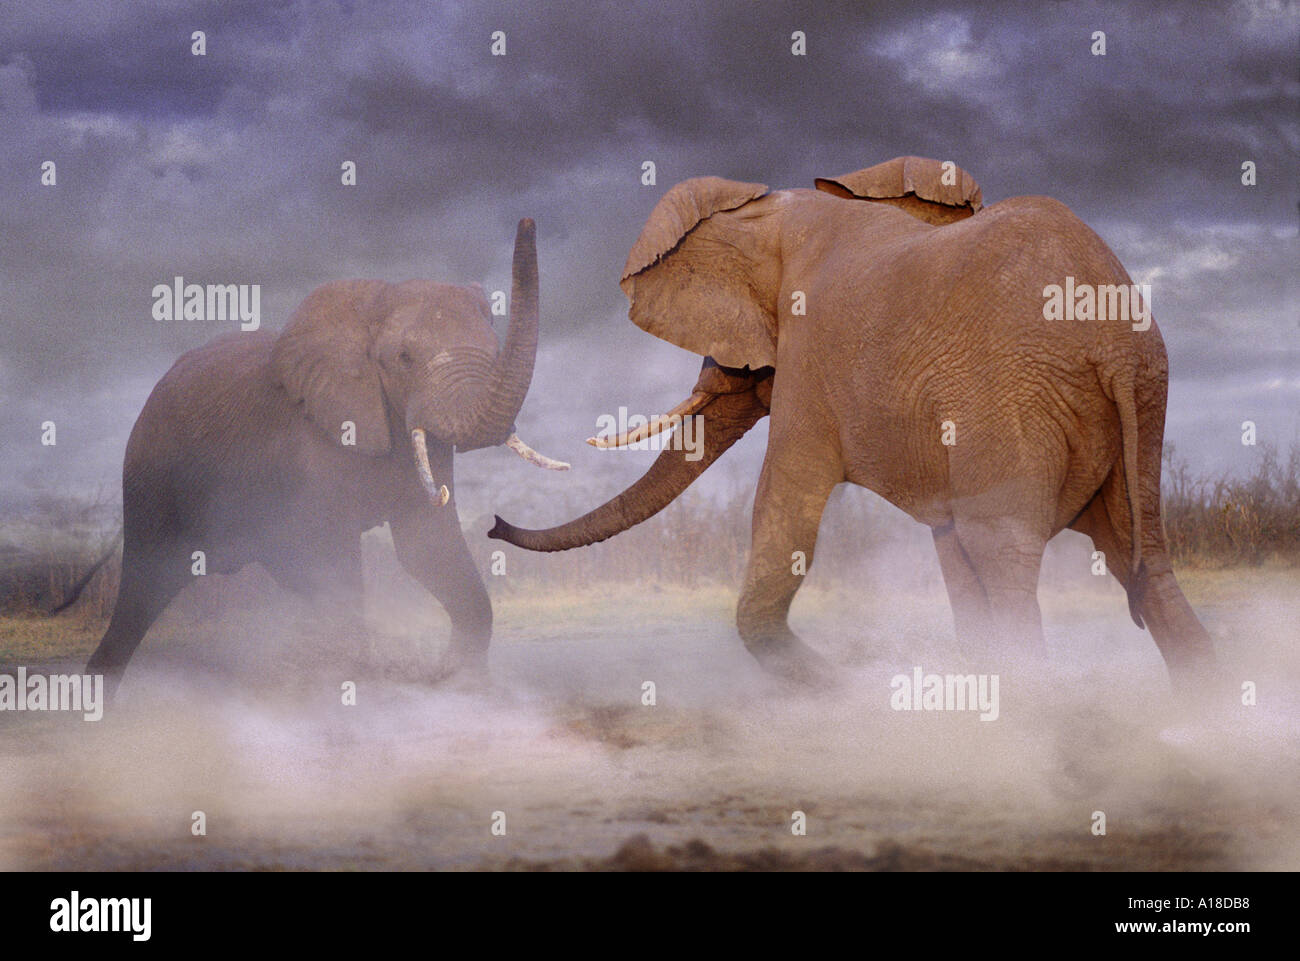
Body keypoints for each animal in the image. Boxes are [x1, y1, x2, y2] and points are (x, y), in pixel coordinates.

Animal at [82, 222, 569, 697]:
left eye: (494, 348)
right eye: (404, 358)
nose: (527, 222)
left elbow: (427, 548)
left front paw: (460, 684)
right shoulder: (309, 439)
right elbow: (339, 564)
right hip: (150, 473)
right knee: (145, 587)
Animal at [488, 156, 1216, 691]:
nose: (491, 523)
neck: (774, 212)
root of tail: (1110, 342)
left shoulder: (814, 357)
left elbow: (785, 505)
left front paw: (849, 691)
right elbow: (949, 552)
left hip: (1016, 396)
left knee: (1004, 553)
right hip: (1137, 400)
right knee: (1139, 557)